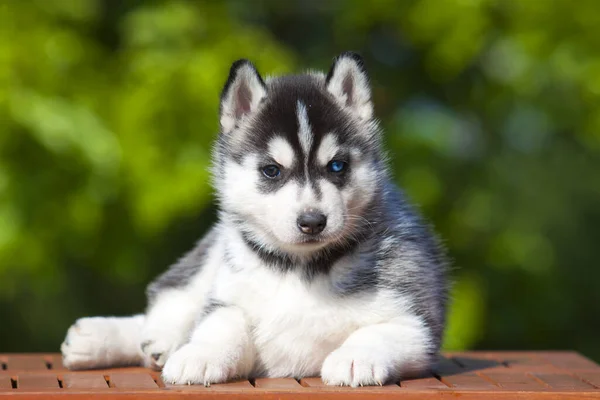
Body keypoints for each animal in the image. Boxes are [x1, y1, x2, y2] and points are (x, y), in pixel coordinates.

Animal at [61, 51, 448, 386]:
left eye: (337, 166)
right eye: (271, 170)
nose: (312, 221)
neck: (300, 269)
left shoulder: (414, 322)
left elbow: (379, 332)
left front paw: (356, 358)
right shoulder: (227, 297)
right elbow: (222, 324)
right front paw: (201, 354)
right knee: (171, 299)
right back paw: (117, 337)